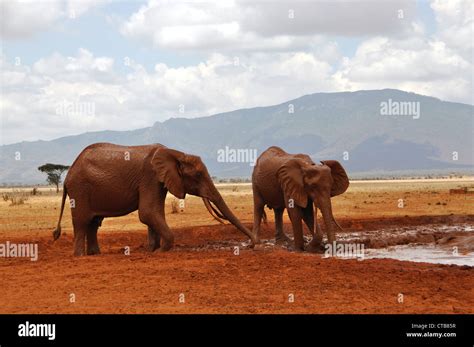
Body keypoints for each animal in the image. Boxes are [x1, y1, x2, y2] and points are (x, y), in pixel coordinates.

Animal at [53, 142, 258, 256]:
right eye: (198, 175)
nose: (250, 245)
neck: (175, 153)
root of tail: (69, 173)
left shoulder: (160, 181)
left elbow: (155, 213)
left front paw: (152, 250)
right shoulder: (150, 177)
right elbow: (148, 212)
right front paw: (160, 251)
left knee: (94, 223)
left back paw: (95, 255)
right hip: (79, 190)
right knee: (82, 221)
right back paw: (80, 256)